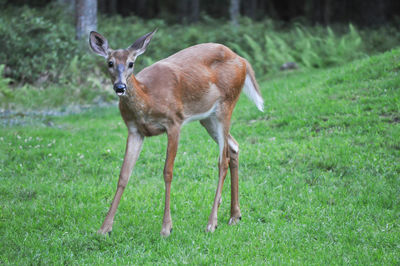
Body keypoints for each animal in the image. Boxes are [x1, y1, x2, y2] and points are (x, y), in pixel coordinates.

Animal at [90, 29, 264, 237]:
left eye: (131, 63)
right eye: (110, 63)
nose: (120, 87)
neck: (148, 97)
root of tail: (242, 60)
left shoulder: (174, 122)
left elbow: (168, 172)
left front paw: (166, 227)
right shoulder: (134, 130)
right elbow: (124, 175)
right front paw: (104, 228)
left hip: (226, 104)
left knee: (223, 161)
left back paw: (212, 223)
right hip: (208, 118)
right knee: (234, 147)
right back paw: (234, 216)